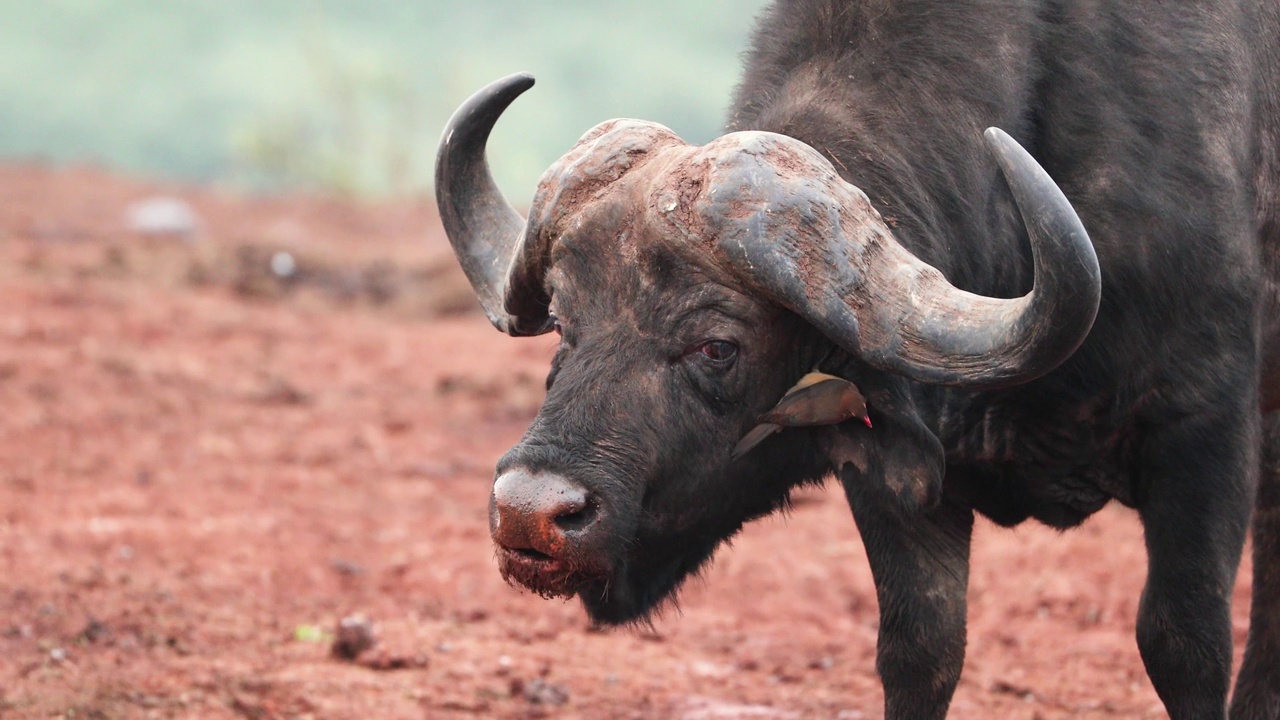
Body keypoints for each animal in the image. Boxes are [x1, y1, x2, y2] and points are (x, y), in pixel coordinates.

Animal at [435, 1, 1274, 717]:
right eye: (565, 323)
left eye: (718, 345)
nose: (530, 511)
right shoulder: (904, 482)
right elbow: (920, 650)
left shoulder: (1206, 434)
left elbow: (1184, 643)